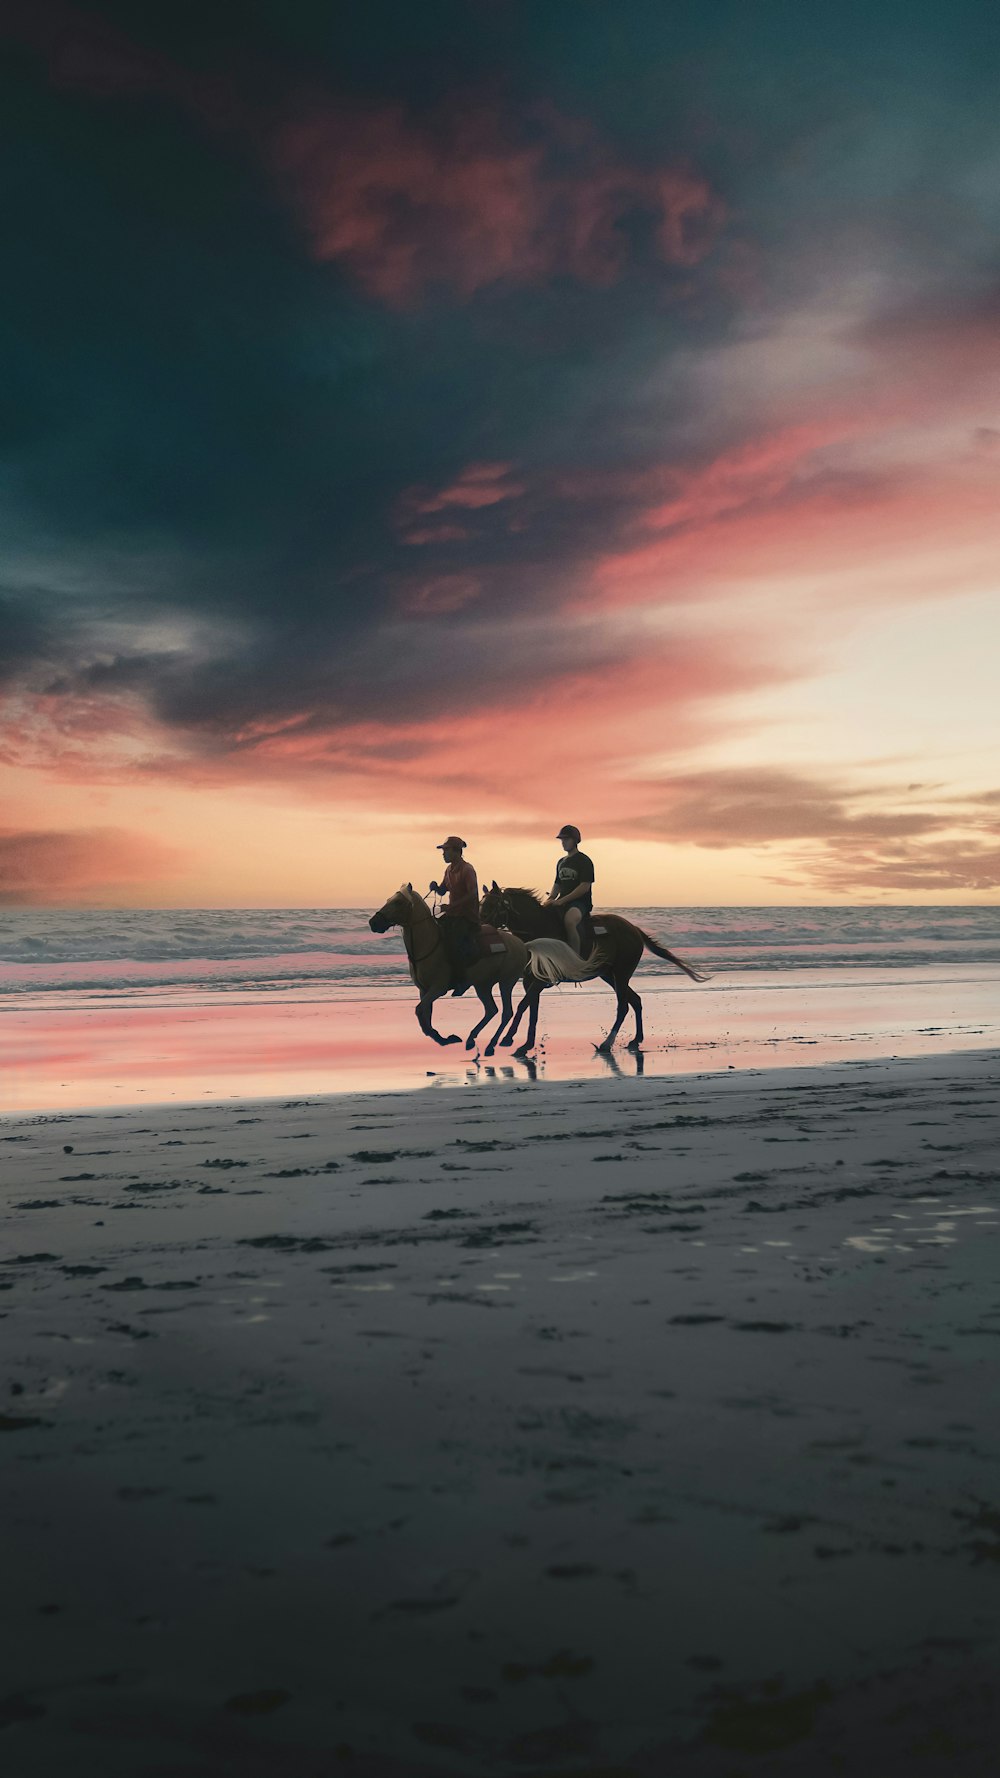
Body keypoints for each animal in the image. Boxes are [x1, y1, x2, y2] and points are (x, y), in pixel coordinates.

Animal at [480, 878, 704, 1045]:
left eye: (492, 905)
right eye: (482, 904)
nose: (480, 926)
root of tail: (633, 928)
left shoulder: (539, 981)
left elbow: (522, 1006)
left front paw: (508, 1038)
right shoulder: (530, 981)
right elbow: (531, 1010)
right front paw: (526, 1044)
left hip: (621, 973)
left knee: (623, 1005)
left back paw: (607, 1043)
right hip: (609, 975)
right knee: (635, 1000)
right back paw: (636, 1039)